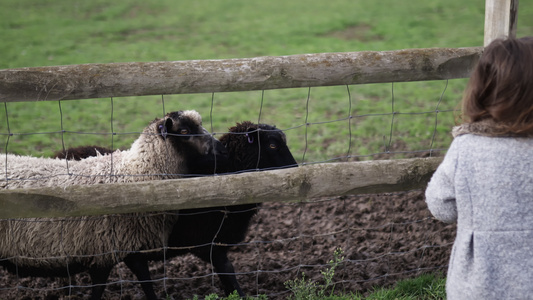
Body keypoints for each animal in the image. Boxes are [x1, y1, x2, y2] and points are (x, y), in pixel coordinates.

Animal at [0, 110, 224, 300]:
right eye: (184, 131)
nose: (220, 148)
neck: (136, 174)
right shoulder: (103, 249)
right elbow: (101, 288)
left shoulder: (130, 245)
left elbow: (145, 279)